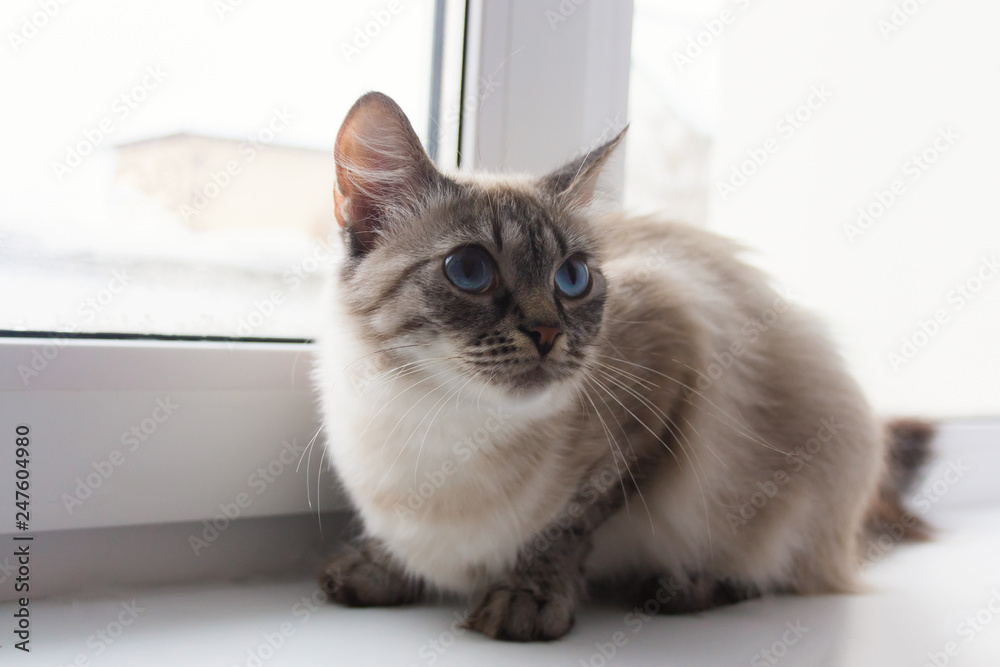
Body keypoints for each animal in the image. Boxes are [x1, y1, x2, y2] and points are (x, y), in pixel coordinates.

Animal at [312, 92, 928, 640]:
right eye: (469, 269)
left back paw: (677, 589)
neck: (440, 428)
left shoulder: (667, 365)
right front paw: (375, 569)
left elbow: (565, 528)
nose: (547, 333)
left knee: (765, 571)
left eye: (573, 278)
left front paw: (526, 600)